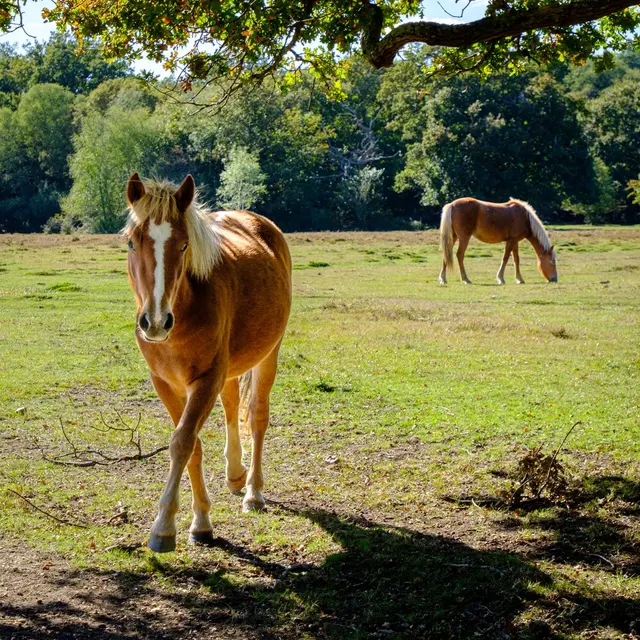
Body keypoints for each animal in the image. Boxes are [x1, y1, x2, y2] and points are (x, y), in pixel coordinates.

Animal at [124, 173, 292, 553]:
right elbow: (192, 445)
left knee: (257, 418)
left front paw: (163, 528)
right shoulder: (165, 382)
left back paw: (253, 492)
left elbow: (182, 442)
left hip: (268, 355)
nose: (156, 322)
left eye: (184, 245)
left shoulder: (205, 379)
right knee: (231, 405)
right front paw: (200, 522)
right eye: (131, 244)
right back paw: (235, 473)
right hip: (228, 370)